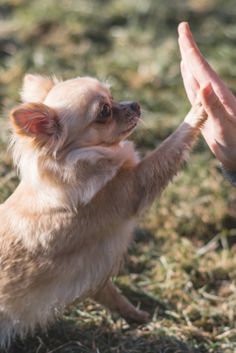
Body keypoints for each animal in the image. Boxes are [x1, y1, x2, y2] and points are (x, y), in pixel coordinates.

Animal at [0, 73, 206, 346]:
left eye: (112, 96)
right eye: (104, 111)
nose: (135, 104)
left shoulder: (95, 274)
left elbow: (111, 294)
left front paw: (137, 315)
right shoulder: (135, 186)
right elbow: (170, 146)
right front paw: (199, 108)